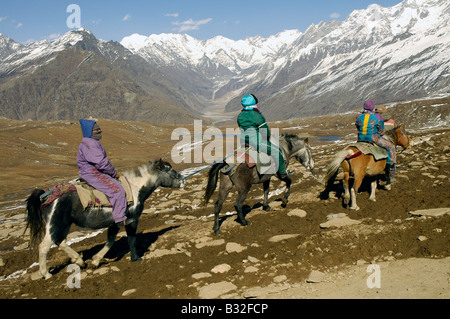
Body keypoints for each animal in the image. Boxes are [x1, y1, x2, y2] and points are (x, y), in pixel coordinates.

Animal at [25, 160, 184, 280]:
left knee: (60, 242)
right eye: (169, 169)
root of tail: (45, 196)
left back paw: (79, 261)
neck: (135, 189)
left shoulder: (115, 223)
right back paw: (47, 274)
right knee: (44, 246)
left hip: (65, 225)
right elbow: (130, 239)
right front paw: (136, 258)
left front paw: (95, 260)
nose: (183, 180)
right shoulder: (132, 220)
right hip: (54, 224)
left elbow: (110, 241)